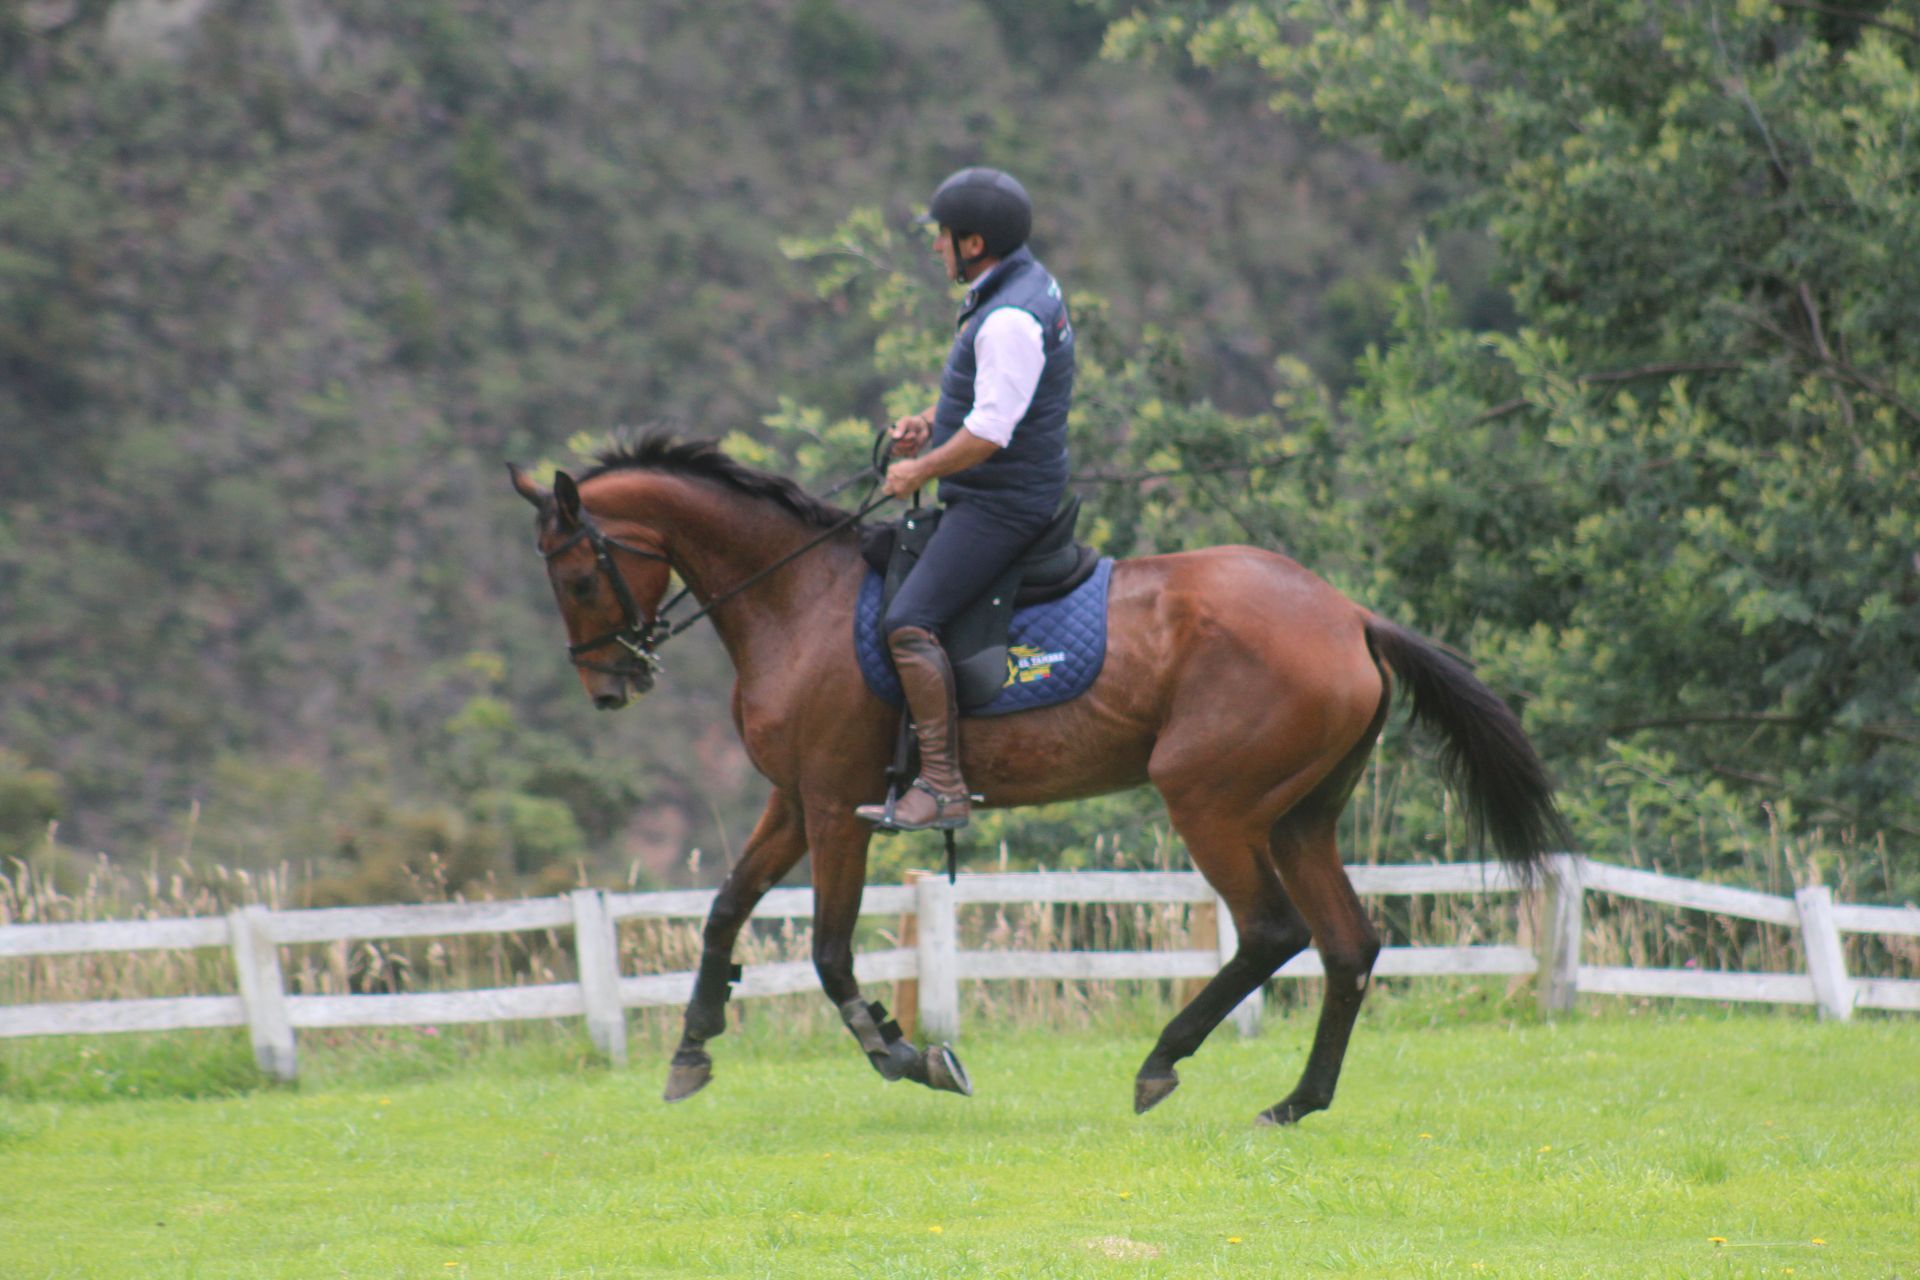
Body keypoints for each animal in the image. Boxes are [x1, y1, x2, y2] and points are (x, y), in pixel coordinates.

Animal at [508, 435, 1565, 1125]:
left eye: (578, 576)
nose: (608, 687)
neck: (793, 598)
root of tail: (1347, 614)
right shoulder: (795, 802)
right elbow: (726, 909)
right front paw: (692, 1045)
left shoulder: (840, 809)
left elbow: (829, 952)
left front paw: (907, 1054)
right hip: (1300, 816)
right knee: (1348, 945)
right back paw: (1295, 1104)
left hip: (1210, 802)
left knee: (1273, 932)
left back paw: (1161, 1063)